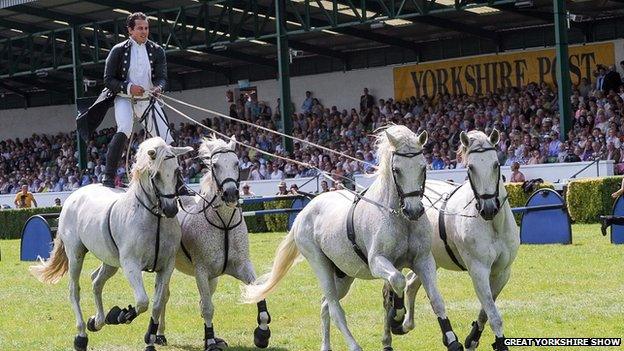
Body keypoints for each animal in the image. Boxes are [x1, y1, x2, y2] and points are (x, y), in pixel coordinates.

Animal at [31, 138, 193, 351]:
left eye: (176, 171)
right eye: (155, 174)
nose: (171, 210)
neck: (154, 218)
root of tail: (75, 195)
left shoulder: (166, 267)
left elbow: (157, 304)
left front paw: (150, 340)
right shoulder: (131, 264)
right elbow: (142, 302)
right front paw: (120, 315)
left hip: (109, 261)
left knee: (96, 281)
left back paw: (96, 321)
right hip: (76, 255)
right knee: (74, 290)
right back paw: (81, 336)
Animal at [154, 136, 270, 350]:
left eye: (236, 163)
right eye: (215, 165)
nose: (231, 193)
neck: (224, 224)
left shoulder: (242, 266)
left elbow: (257, 291)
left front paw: (262, 334)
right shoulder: (201, 272)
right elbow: (208, 308)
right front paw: (209, 341)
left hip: (213, 279)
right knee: (163, 296)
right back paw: (159, 335)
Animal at [244, 126, 464, 351]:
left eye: (423, 167)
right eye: (397, 170)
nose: (414, 211)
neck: (399, 218)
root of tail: (304, 211)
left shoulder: (423, 260)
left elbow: (435, 299)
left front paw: (452, 341)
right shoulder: (377, 262)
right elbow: (398, 280)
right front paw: (396, 318)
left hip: (343, 275)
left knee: (325, 306)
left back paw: (326, 347)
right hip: (320, 266)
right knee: (334, 309)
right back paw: (354, 345)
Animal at [382, 131, 520, 351]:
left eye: (496, 164)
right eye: (470, 167)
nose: (489, 208)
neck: (493, 225)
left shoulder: (502, 272)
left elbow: (485, 311)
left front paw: (472, 339)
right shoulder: (478, 270)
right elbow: (493, 314)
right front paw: (499, 343)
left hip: (427, 260)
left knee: (411, 285)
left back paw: (406, 326)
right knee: (390, 293)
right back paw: (390, 333)